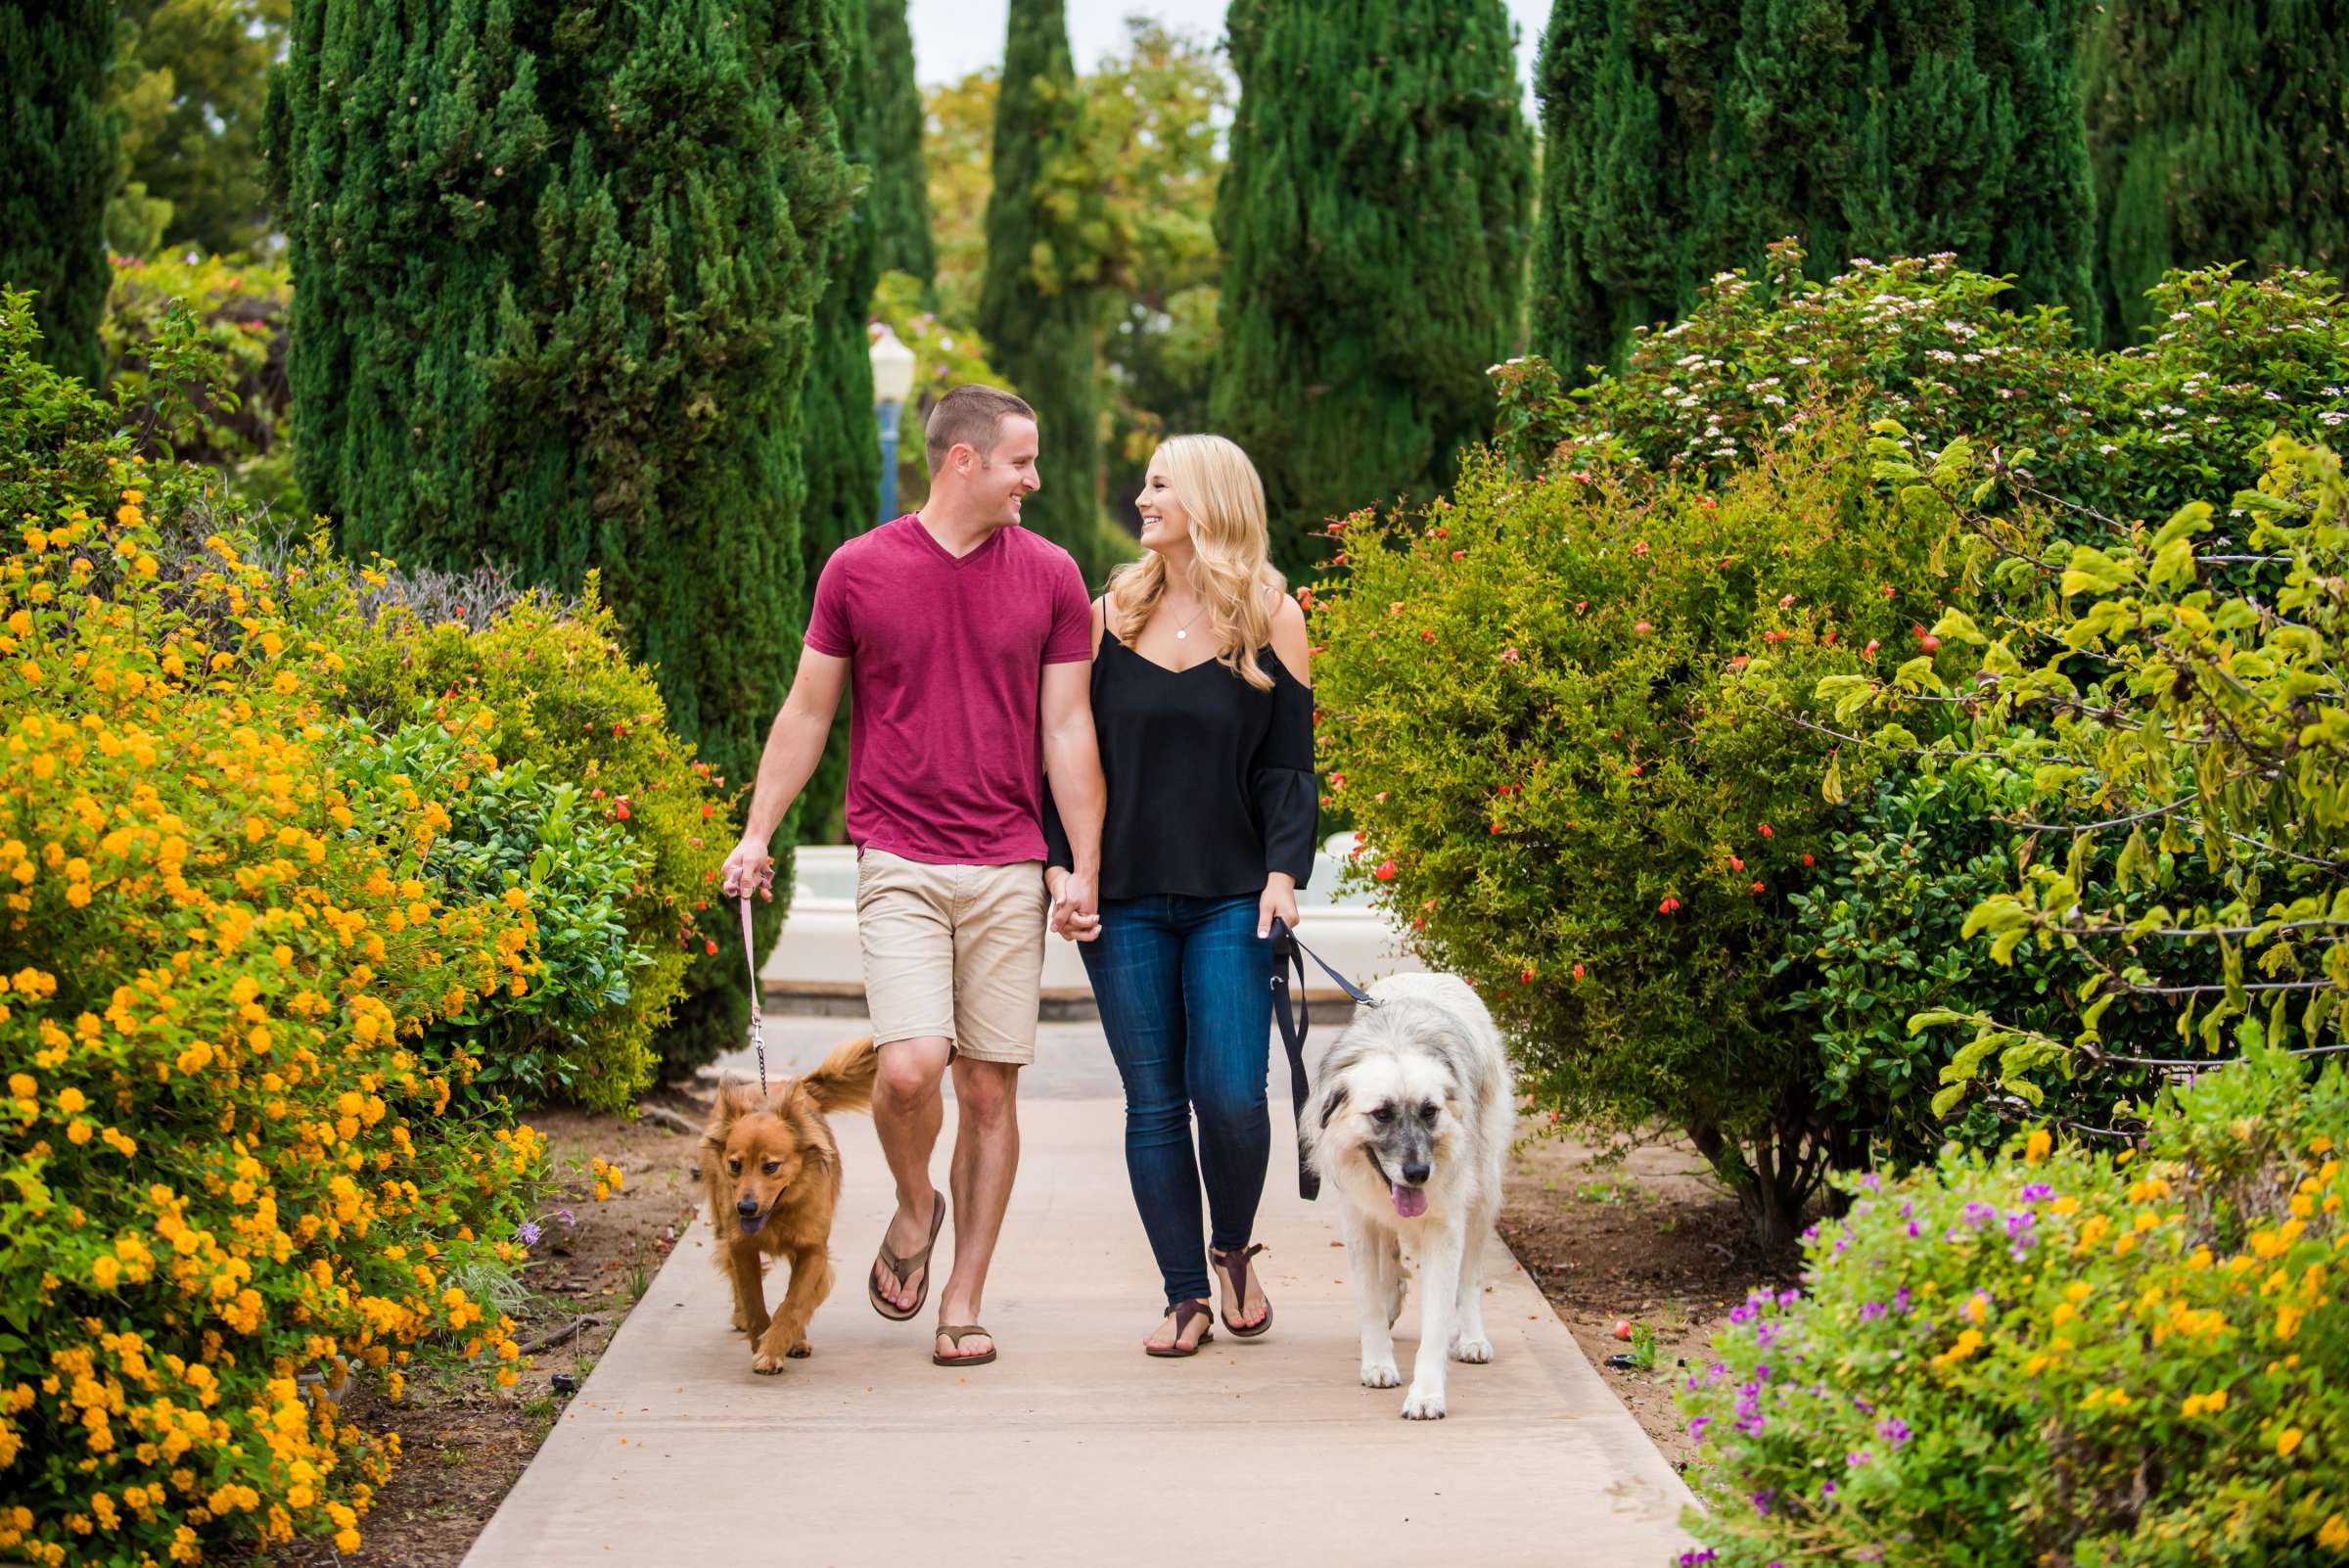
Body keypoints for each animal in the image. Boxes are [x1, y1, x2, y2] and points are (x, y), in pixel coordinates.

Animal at [700, 1041, 883, 1370]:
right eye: (735, 1165)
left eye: (771, 1166)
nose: (745, 1208)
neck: (777, 1212)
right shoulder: (741, 1246)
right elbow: (753, 1300)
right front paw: (762, 1342)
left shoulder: (813, 1250)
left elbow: (794, 1302)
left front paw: (777, 1344)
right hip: (723, 1224)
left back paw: (795, 1339)